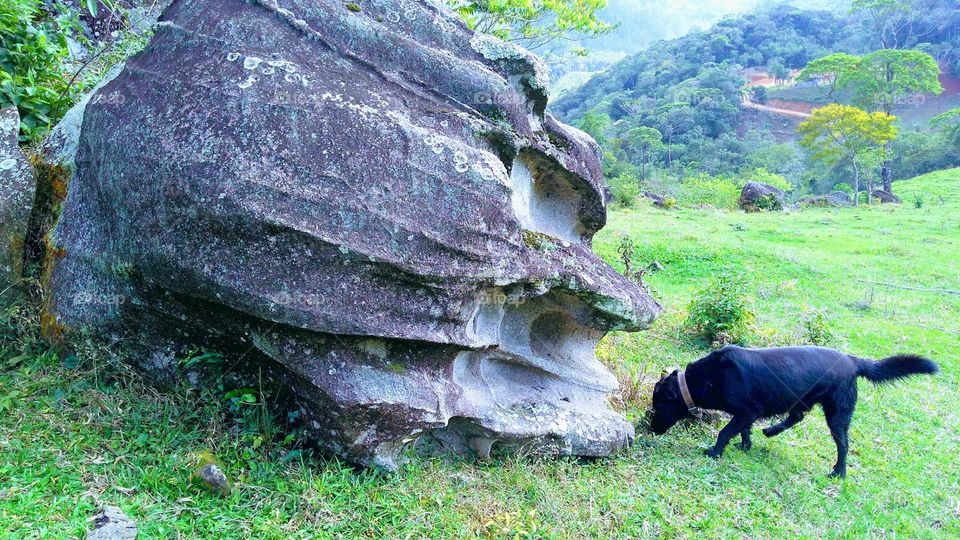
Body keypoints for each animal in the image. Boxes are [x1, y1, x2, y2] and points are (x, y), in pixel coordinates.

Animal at [644, 346, 936, 476]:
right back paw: (771, 431)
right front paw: (746, 446)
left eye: (657, 406)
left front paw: (715, 452)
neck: (706, 378)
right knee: (795, 417)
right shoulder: (748, 414)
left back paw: (839, 471)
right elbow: (744, 431)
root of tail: (853, 361)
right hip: (801, 399)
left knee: (843, 443)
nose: (649, 428)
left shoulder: (748, 410)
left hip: (836, 413)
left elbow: (725, 432)